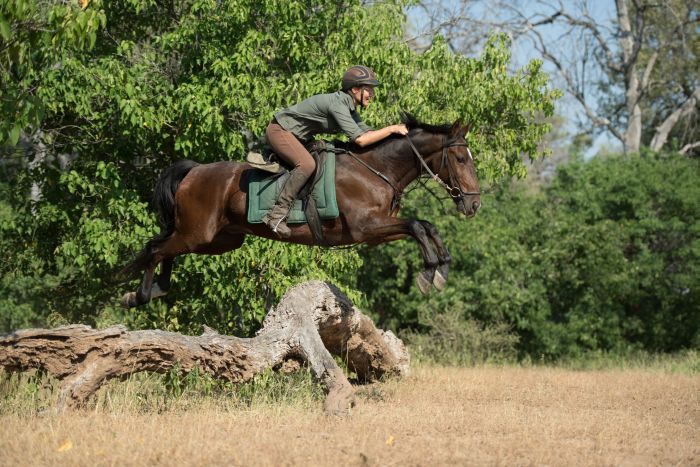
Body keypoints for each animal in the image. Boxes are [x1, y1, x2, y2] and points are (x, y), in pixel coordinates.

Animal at [121, 115, 482, 308]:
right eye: (460, 159)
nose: (474, 204)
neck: (376, 168)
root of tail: (194, 171)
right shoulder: (366, 227)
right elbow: (419, 226)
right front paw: (429, 273)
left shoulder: (376, 232)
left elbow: (426, 226)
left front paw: (441, 269)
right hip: (198, 233)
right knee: (156, 249)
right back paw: (140, 295)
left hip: (218, 240)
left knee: (165, 249)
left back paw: (154, 290)